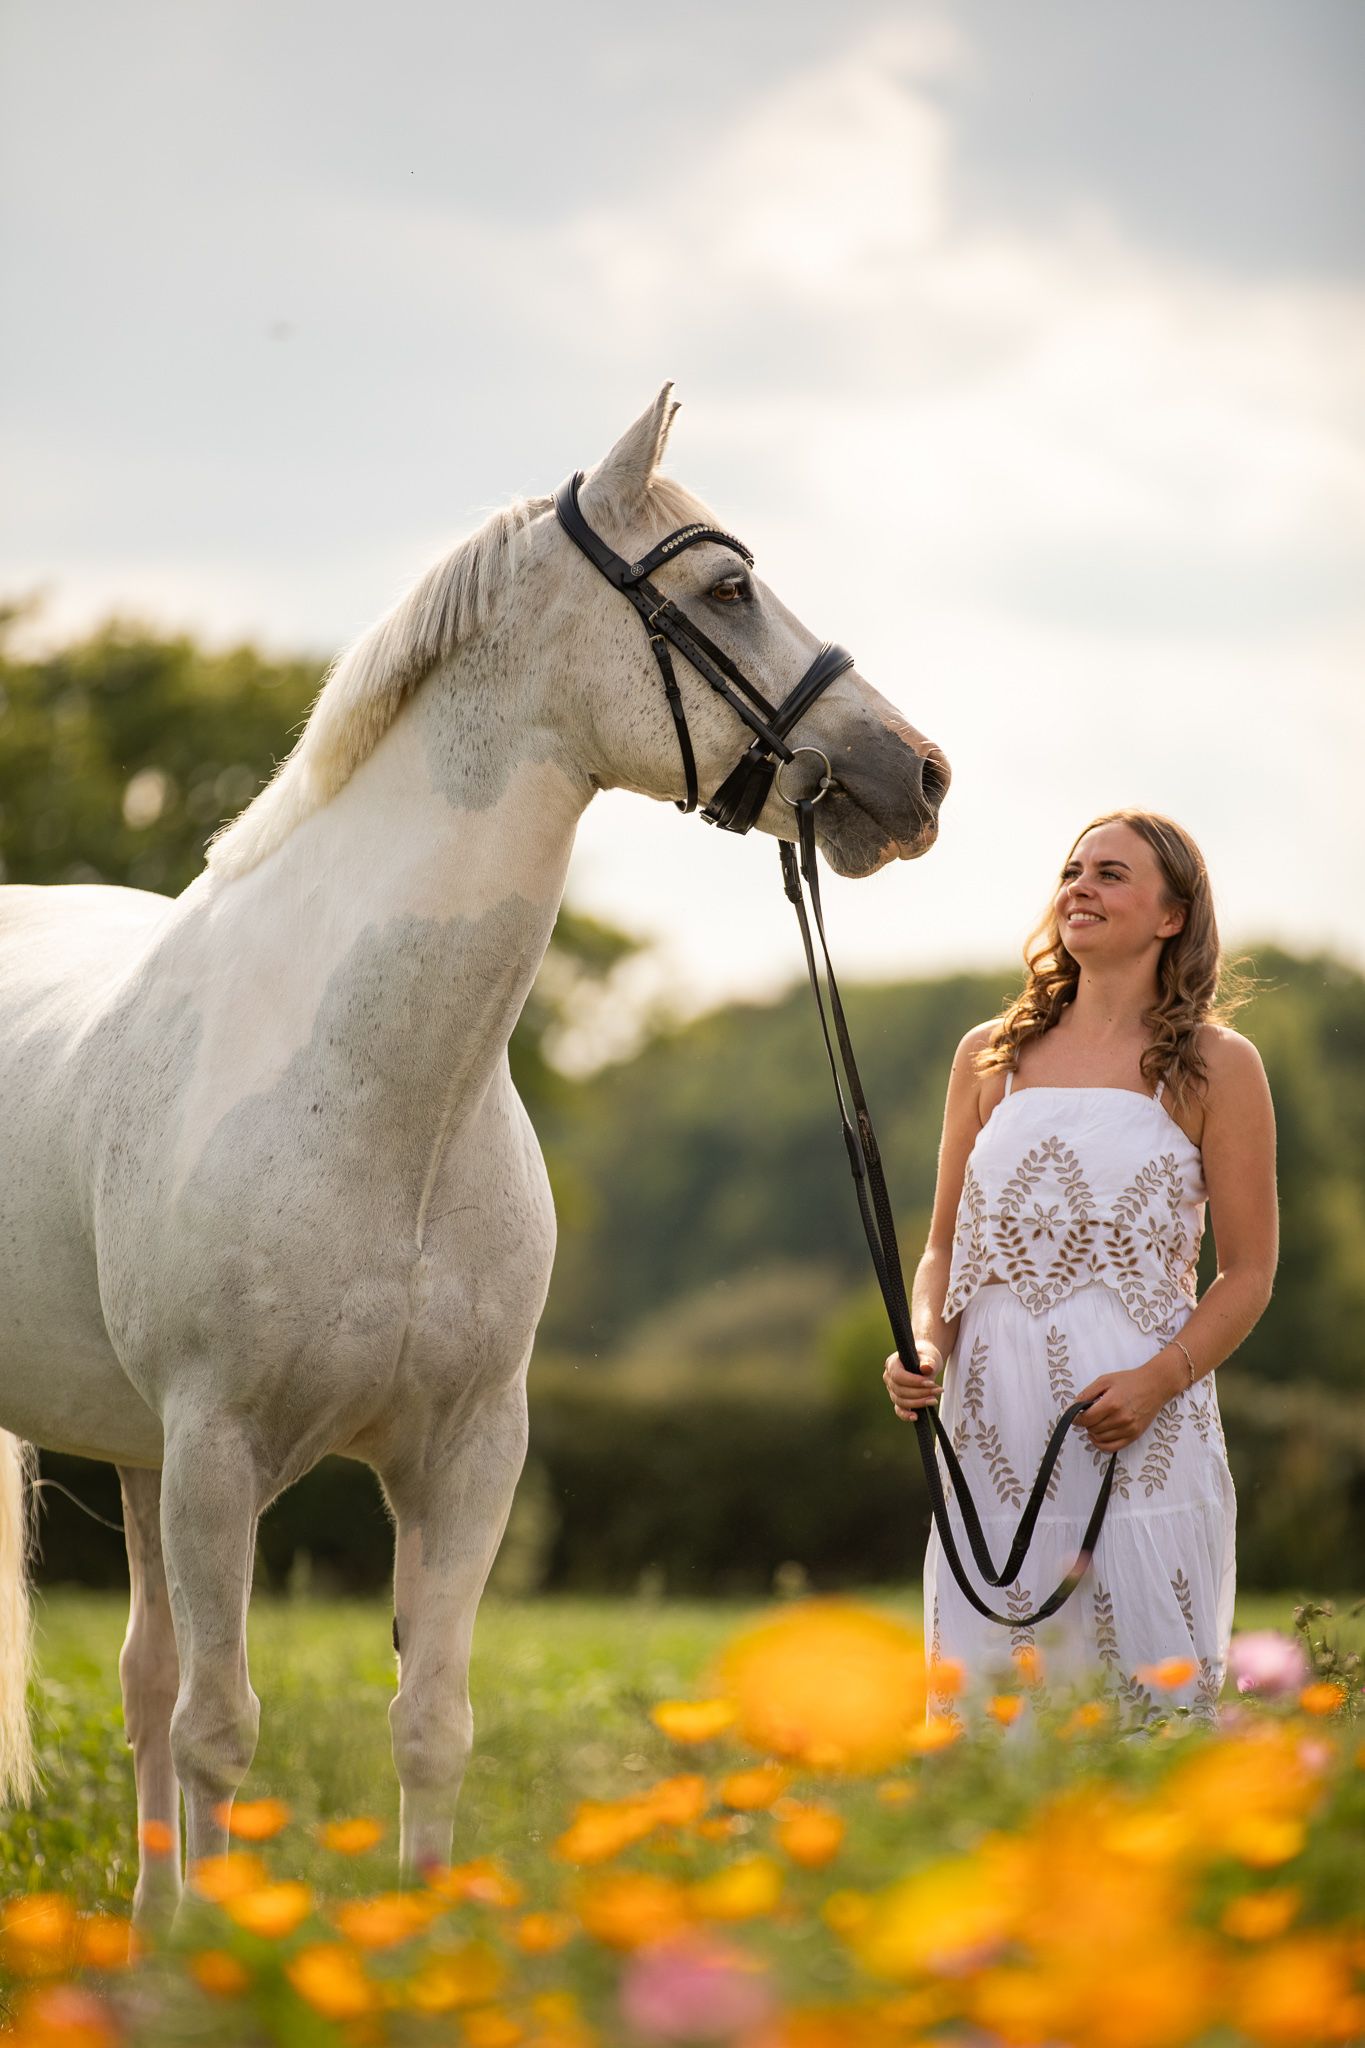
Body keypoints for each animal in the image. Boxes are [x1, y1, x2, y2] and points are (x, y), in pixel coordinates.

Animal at [0, 387, 948, 1916]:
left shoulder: (464, 1453)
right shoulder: (217, 1451)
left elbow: (427, 1723)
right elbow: (222, 1734)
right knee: (170, 1700)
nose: (914, 774)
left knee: (143, 1684)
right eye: (726, 591)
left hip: (137, 1455)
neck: (381, 1093)